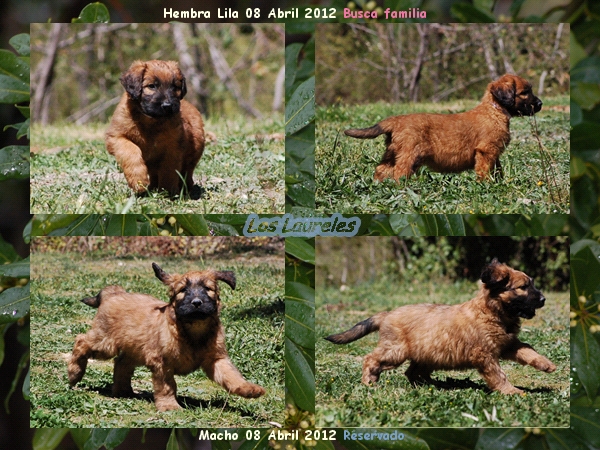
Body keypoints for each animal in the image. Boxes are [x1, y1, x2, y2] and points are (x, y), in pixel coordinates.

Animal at [67, 264, 264, 412]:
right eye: (183, 290)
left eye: (208, 289)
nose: (197, 303)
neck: (193, 329)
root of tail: (114, 293)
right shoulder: (162, 363)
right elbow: (167, 386)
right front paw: (170, 406)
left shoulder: (216, 359)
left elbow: (232, 375)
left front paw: (248, 388)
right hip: (105, 343)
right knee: (81, 341)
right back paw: (74, 373)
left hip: (135, 348)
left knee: (121, 363)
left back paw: (123, 390)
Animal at [104, 61, 205, 197]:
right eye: (152, 86)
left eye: (175, 87)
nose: (167, 105)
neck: (151, 122)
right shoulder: (116, 137)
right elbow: (131, 151)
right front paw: (138, 181)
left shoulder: (173, 146)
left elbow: (169, 168)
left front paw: (167, 190)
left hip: (195, 150)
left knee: (187, 172)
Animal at [326, 260, 556, 394]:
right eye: (523, 287)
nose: (544, 299)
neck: (492, 312)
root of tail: (388, 314)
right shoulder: (485, 354)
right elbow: (499, 375)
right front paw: (511, 392)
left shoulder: (508, 344)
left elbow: (527, 349)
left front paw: (546, 364)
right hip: (396, 350)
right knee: (371, 359)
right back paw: (369, 381)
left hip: (427, 353)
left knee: (412, 372)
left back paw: (432, 385)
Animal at [342, 74, 544, 181]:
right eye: (524, 93)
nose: (540, 104)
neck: (494, 110)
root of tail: (395, 121)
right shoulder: (486, 151)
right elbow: (485, 170)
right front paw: (487, 184)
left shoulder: (493, 153)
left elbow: (497, 169)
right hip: (409, 154)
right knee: (399, 172)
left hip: (393, 153)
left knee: (382, 170)